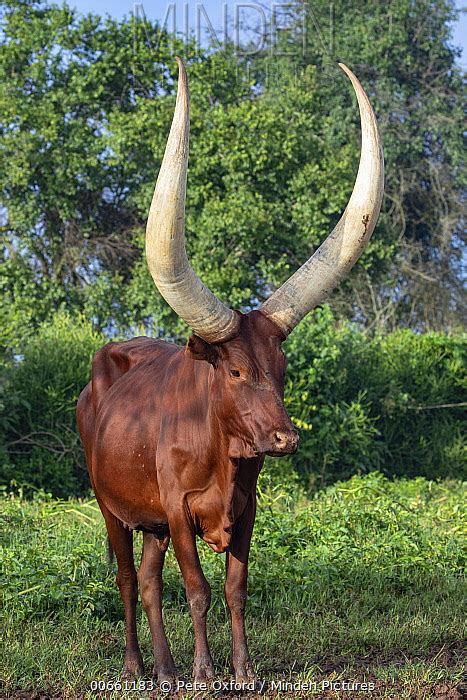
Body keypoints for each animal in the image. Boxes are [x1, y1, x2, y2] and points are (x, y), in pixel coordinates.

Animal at [77, 58, 384, 684]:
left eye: (283, 369)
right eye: (237, 373)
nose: (285, 438)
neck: (222, 452)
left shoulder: (246, 509)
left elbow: (236, 588)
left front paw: (241, 670)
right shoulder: (178, 510)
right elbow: (196, 589)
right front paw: (207, 670)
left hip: (150, 524)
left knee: (149, 581)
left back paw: (165, 669)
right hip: (110, 507)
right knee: (127, 580)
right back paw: (137, 666)